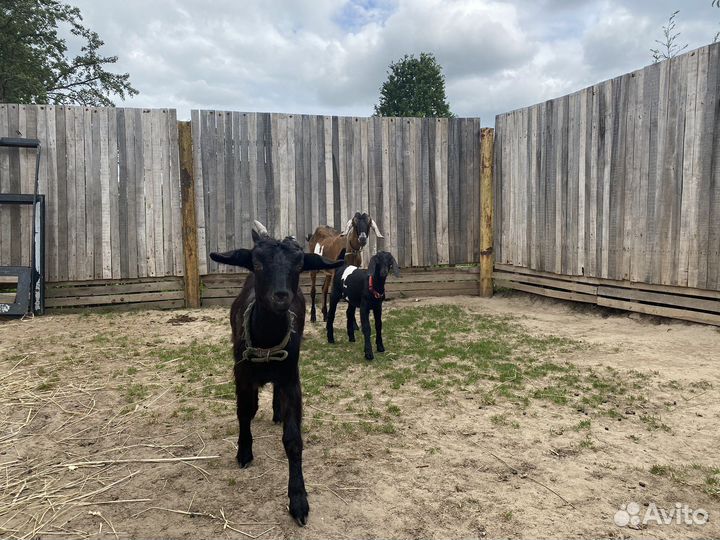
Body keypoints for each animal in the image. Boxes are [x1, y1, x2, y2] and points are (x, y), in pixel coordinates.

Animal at [209, 221, 343, 526]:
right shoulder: (241, 374)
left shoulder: (292, 378)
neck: (267, 344)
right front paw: (244, 452)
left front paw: (298, 500)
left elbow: (293, 440)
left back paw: (277, 410)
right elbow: (244, 412)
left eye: (299, 265)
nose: (281, 297)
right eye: (258, 264)